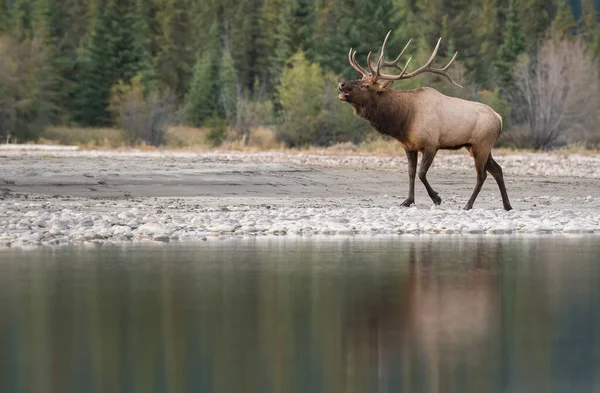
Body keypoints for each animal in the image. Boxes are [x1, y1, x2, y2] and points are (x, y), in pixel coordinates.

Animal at [340, 31, 512, 210]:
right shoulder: (409, 146)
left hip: (481, 145)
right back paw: (507, 205)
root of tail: (499, 118)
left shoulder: (431, 145)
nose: (341, 84)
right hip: (476, 146)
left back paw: (468, 204)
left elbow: (421, 173)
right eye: (359, 79)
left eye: (366, 86)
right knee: (497, 170)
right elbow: (411, 172)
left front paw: (437, 198)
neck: (404, 120)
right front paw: (407, 201)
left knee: (482, 174)